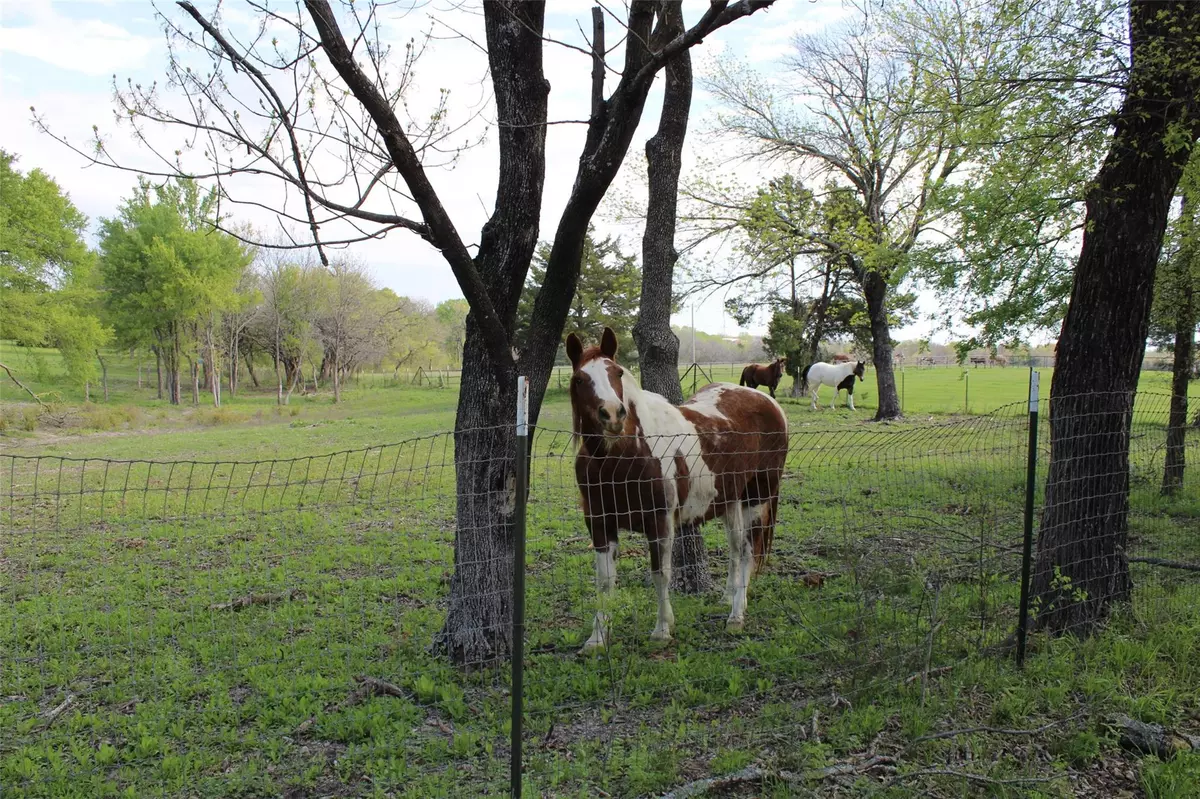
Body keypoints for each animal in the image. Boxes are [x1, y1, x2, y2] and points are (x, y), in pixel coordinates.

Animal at [568, 326, 792, 652]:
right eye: (579, 379)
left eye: (617, 373)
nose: (612, 414)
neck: (624, 456)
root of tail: (768, 401)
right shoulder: (598, 523)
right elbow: (605, 580)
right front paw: (597, 638)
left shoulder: (660, 522)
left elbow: (661, 574)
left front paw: (662, 629)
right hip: (730, 501)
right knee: (736, 549)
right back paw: (729, 597)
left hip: (757, 495)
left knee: (749, 551)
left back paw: (736, 615)